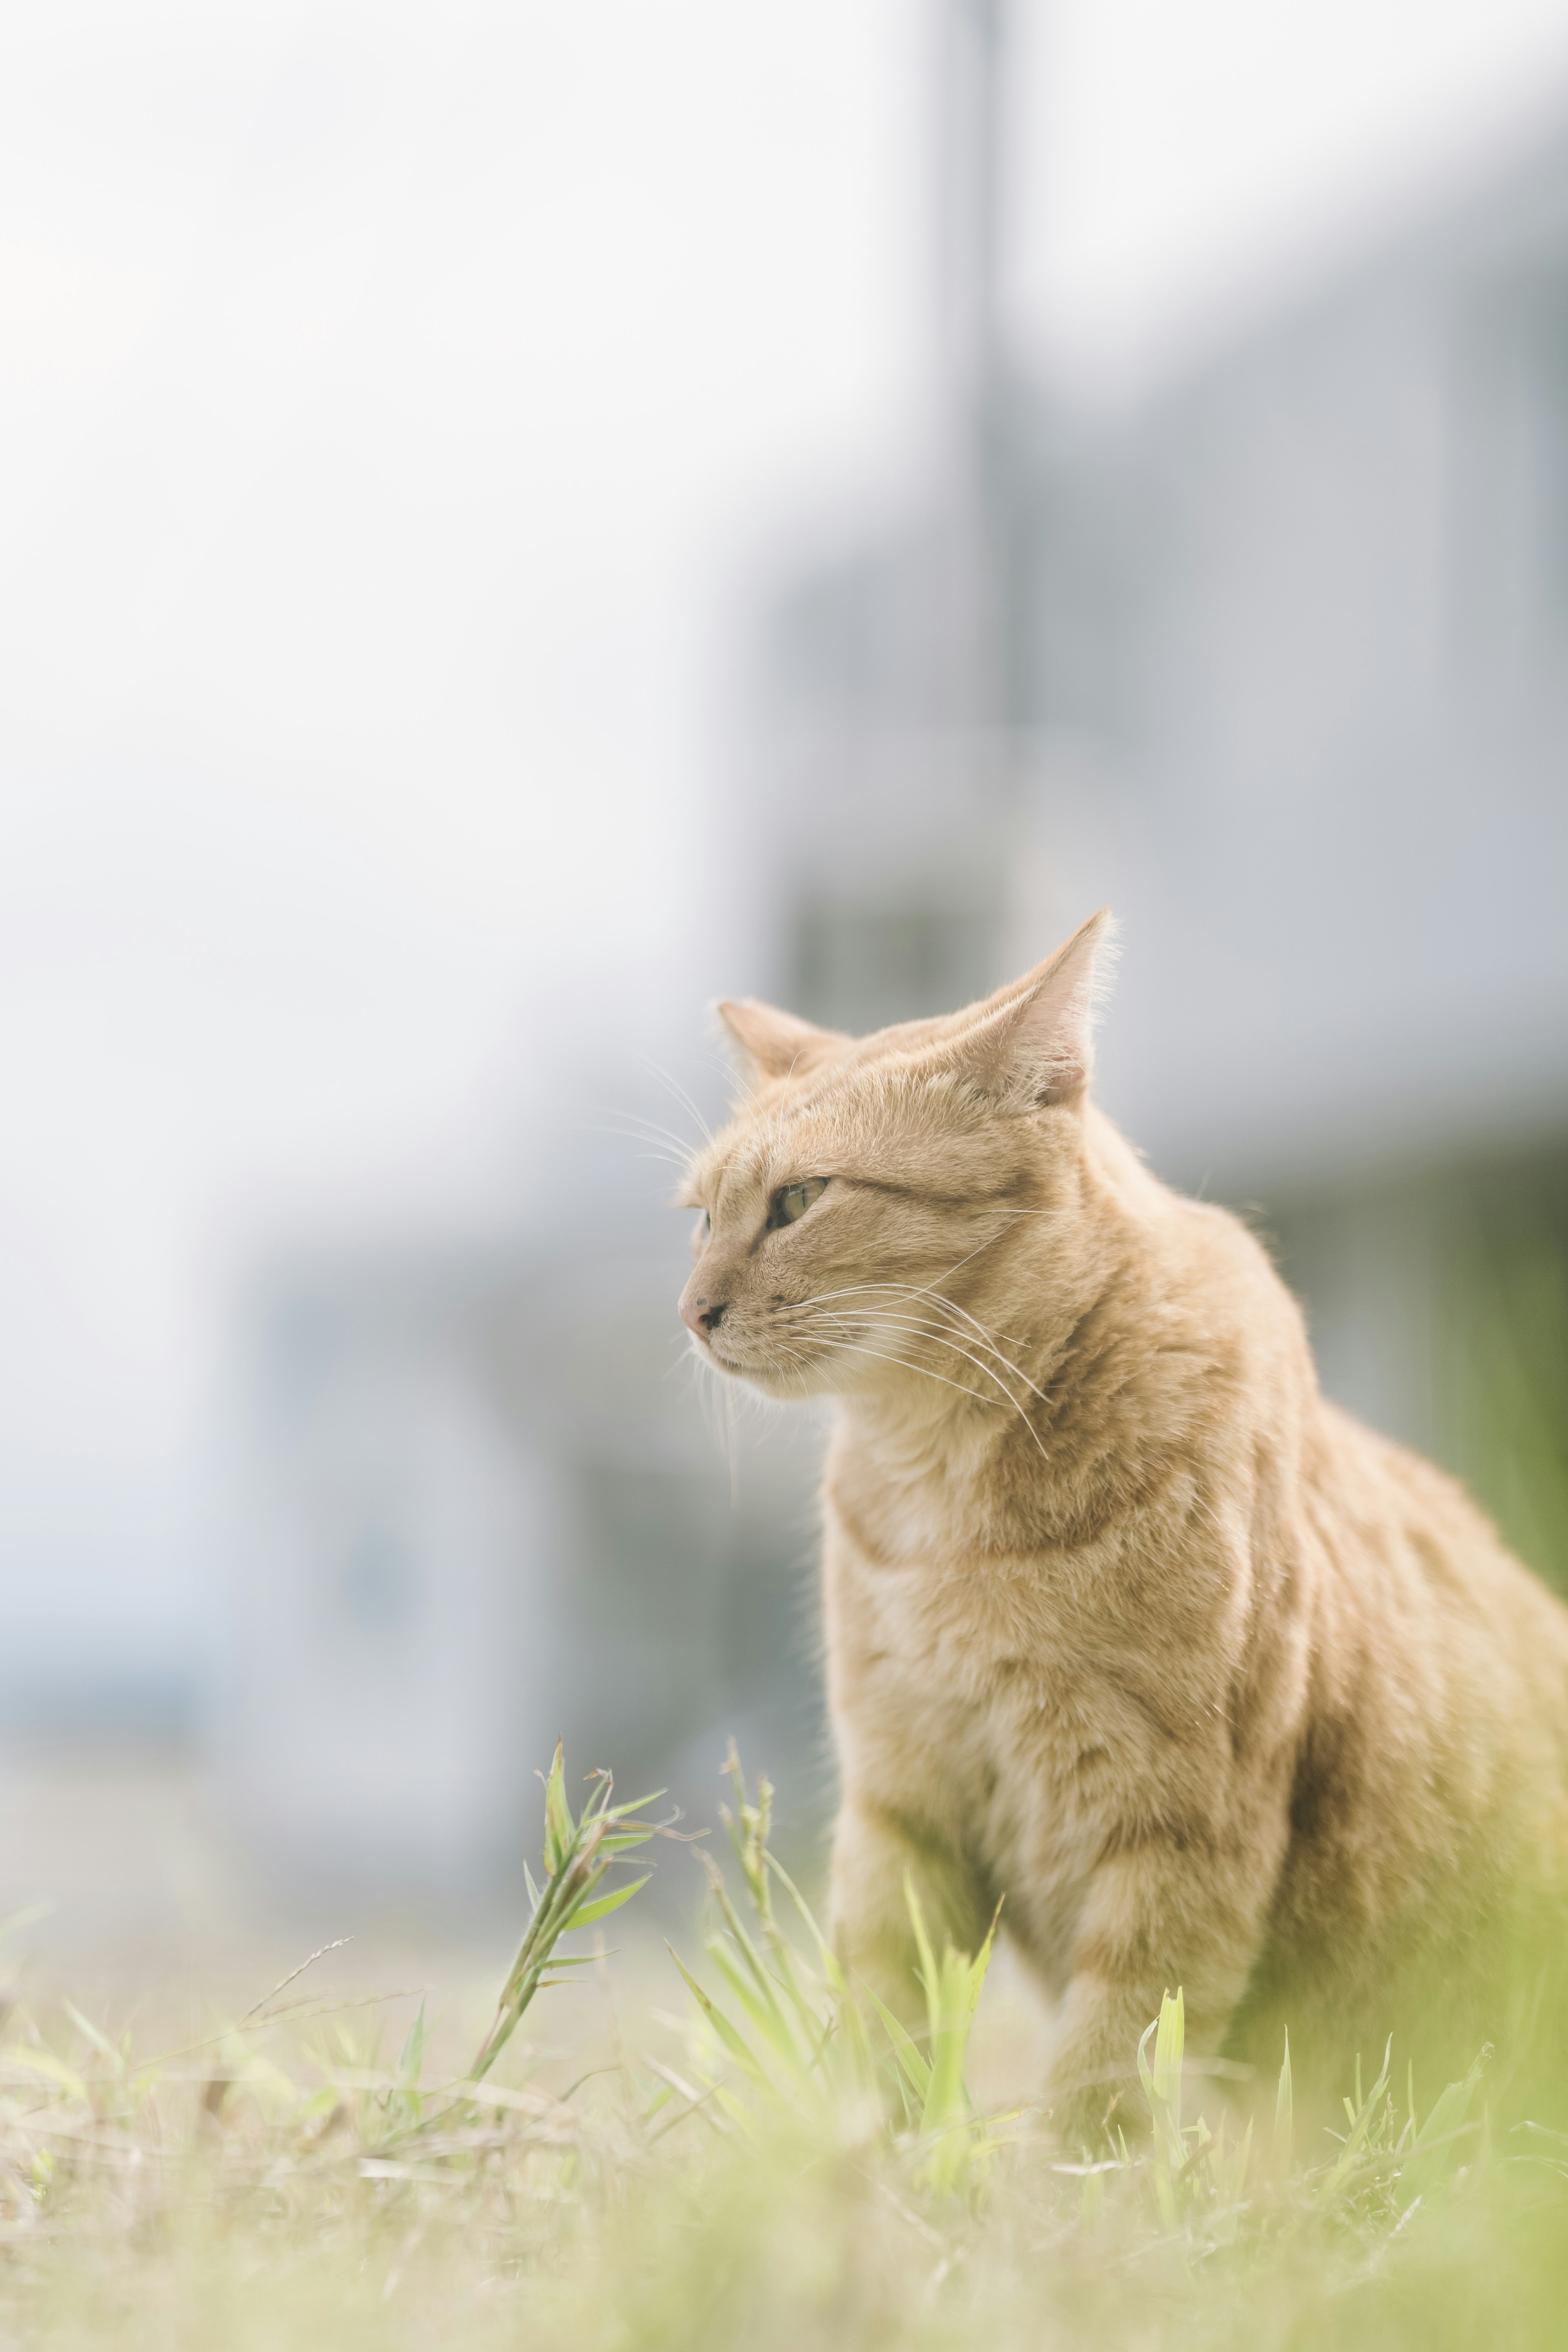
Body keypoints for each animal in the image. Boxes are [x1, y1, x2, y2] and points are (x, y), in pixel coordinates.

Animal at [672, 908, 1568, 2145]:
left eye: (799, 1201)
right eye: (700, 1217)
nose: (691, 1312)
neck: (946, 1511)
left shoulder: (1180, 1825)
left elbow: (1106, 2067)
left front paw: (1056, 2188)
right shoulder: (903, 1806)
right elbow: (887, 2020)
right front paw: (872, 2165)